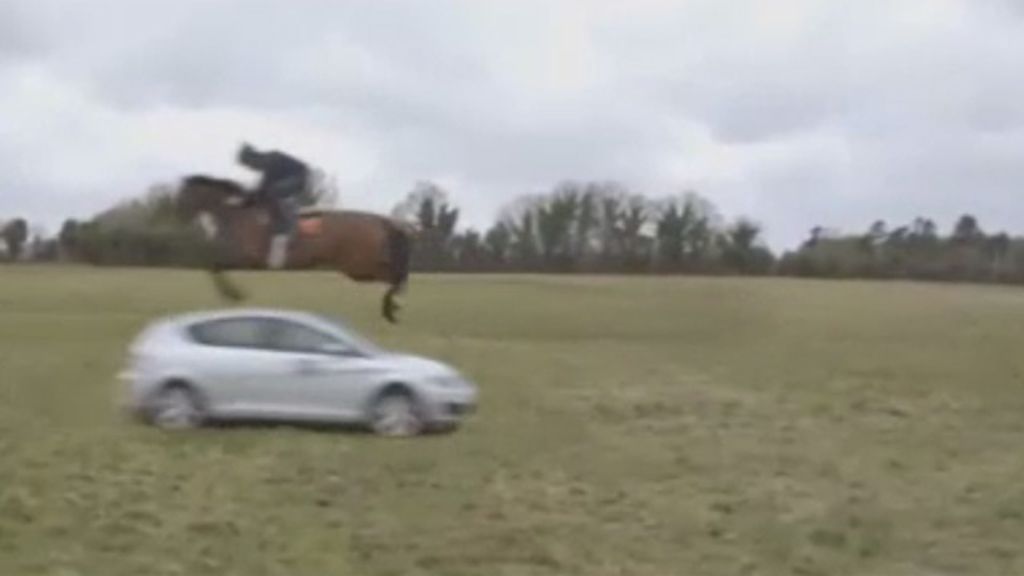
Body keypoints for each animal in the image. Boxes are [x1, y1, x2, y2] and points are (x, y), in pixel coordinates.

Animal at [176, 172, 415, 323]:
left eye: (184, 196)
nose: (178, 215)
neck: (238, 215)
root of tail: (383, 221)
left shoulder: (248, 258)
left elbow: (214, 266)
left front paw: (235, 295)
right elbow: (213, 266)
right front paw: (233, 295)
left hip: (358, 265)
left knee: (397, 276)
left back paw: (393, 308)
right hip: (360, 267)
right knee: (397, 275)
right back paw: (392, 307)